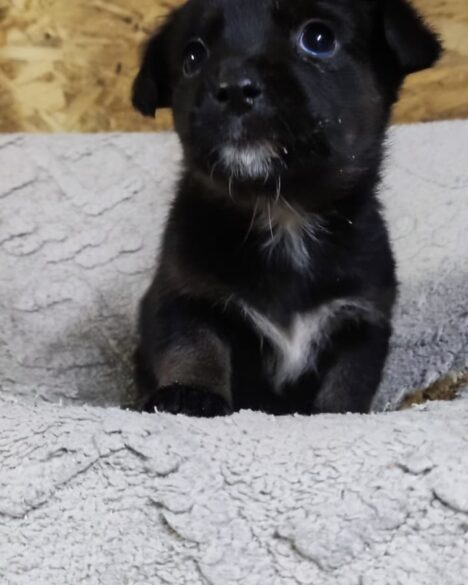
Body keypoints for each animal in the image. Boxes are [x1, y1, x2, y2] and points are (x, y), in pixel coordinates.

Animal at [131, 0, 441, 417]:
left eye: (319, 38)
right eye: (193, 57)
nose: (234, 88)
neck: (282, 211)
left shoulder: (362, 320)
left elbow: (347, 384)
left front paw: (335, 414)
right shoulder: (185, 294)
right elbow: (194, 347)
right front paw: (189, 394)